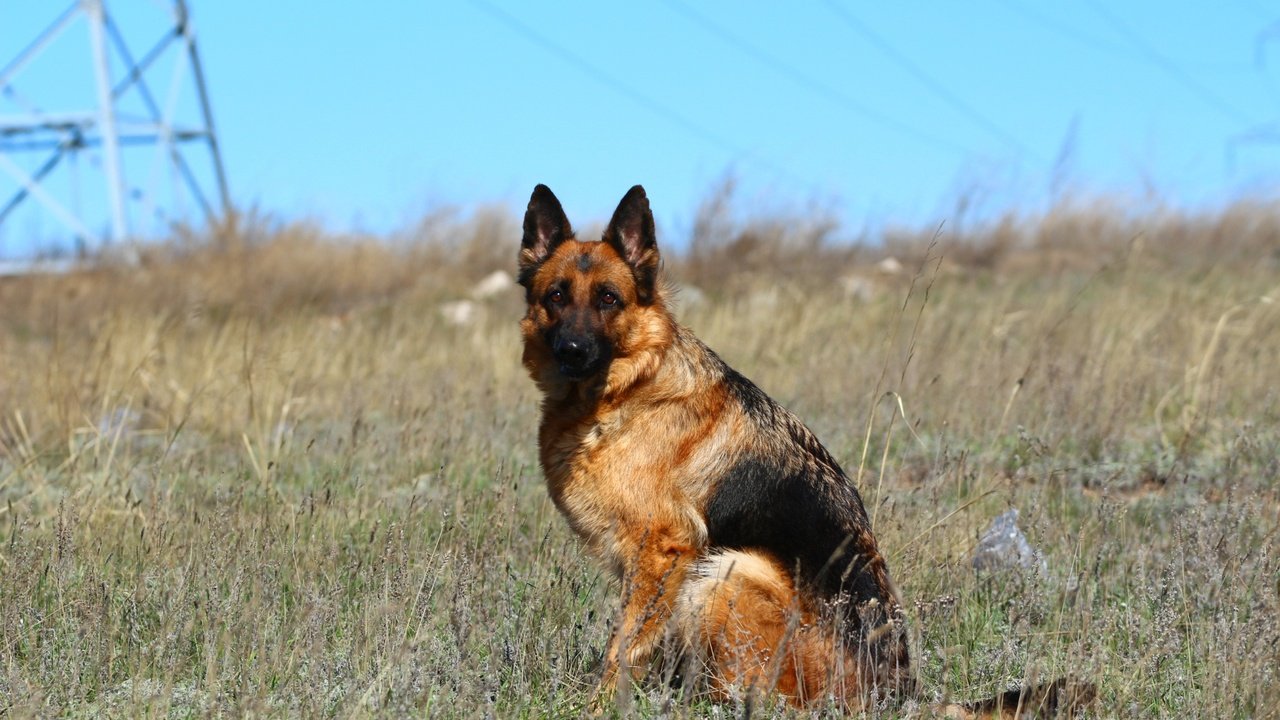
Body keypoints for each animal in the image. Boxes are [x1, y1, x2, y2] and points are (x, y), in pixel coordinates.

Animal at [517, 183, 1090, 712]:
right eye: (556, 297)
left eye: (608, 299)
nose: (572, 351)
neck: (630, 384)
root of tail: (899, 696)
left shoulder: (665, 551)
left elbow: (624, 648)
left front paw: (596, 706)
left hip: (726, 571)